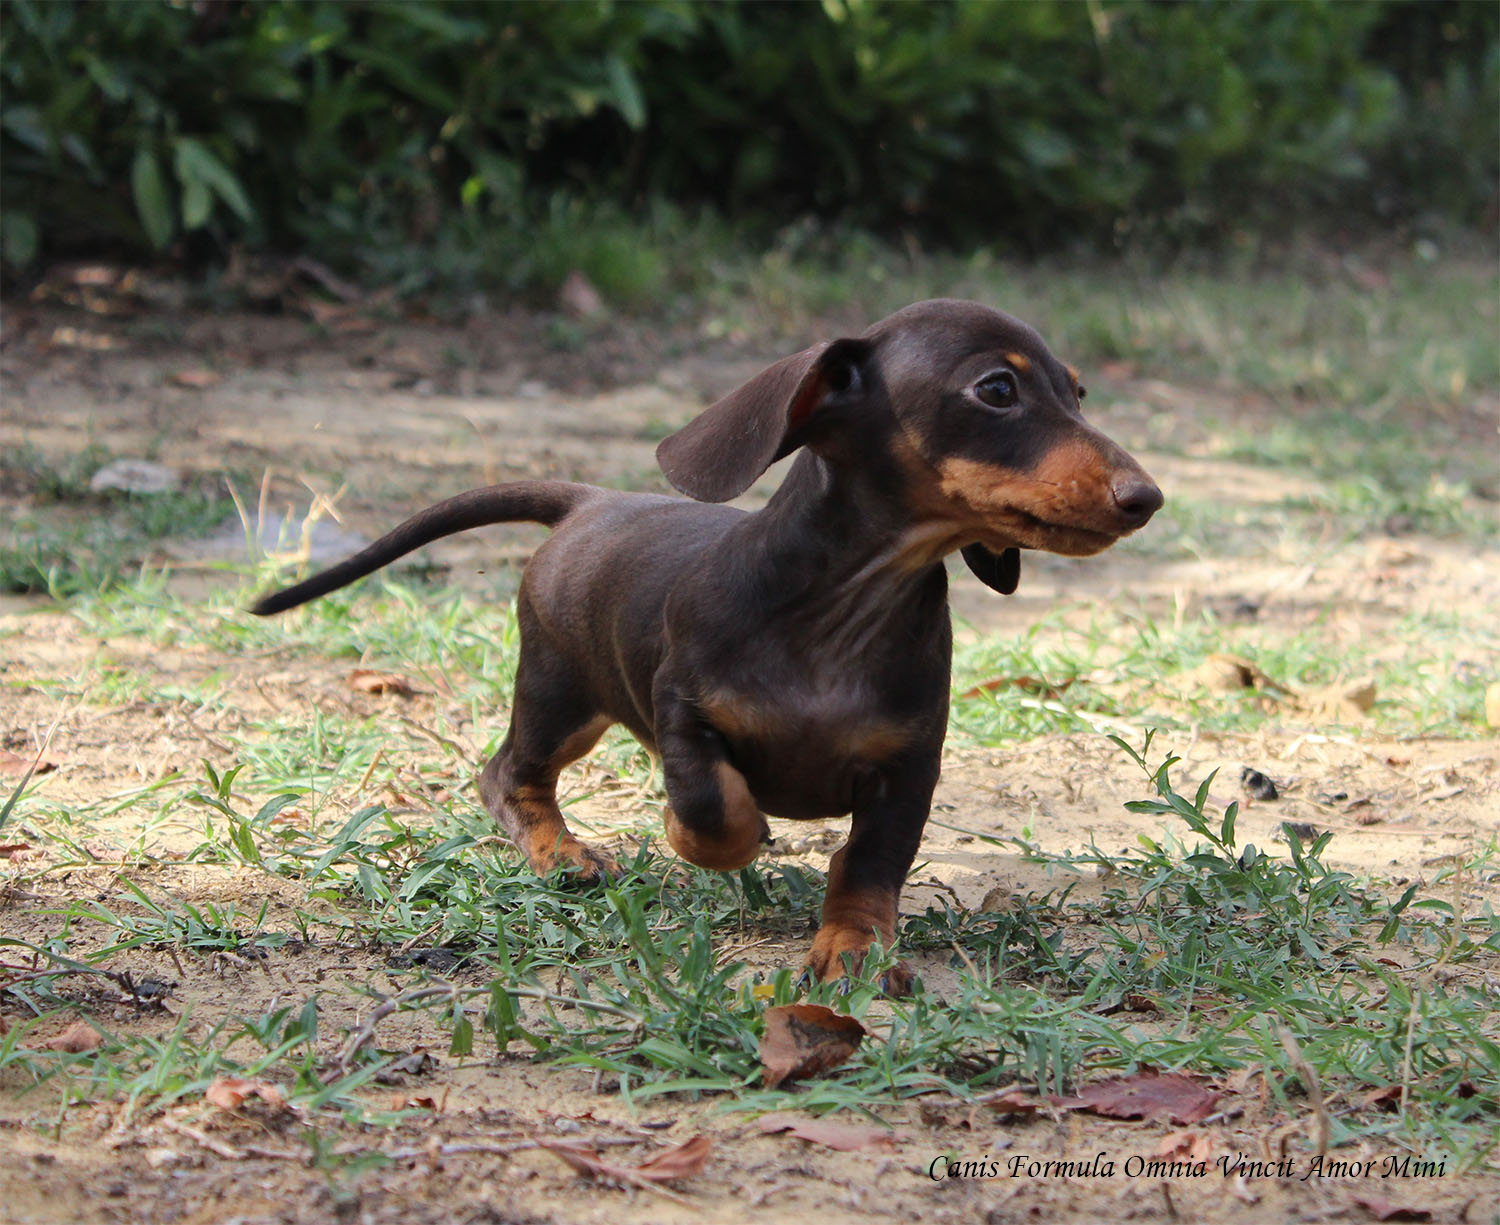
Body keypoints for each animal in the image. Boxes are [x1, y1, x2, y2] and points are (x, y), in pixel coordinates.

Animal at [255, 301, 1158, 989]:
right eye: (997, 388)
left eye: (1077, 391)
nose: (1145, 497)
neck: (842, 613)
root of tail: (590, 501)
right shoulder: (684, 711)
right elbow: (712, 805)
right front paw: (703, 837)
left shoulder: (910, 765)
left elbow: (872, 863)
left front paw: (855, 945)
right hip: (558, 693)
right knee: (508, 774)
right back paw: (562, 854)